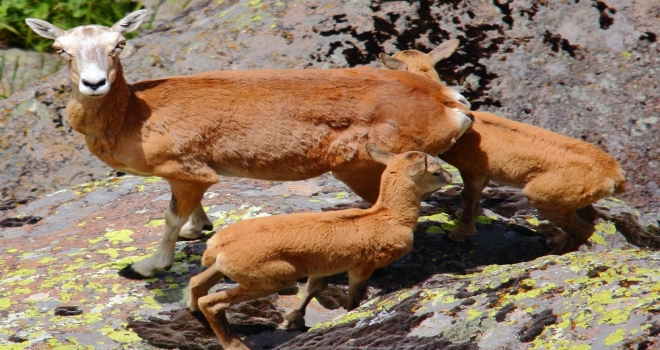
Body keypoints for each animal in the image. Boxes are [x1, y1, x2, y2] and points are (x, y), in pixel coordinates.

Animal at [23, 10, 472, 278]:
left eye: (118, 44)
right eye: (61, 49)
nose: (93, 83)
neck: (134, 114)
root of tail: (449, 102)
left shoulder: (186, 171)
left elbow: (168, 220)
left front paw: (148, 266)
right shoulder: (188, 176)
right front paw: (198, 228)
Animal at [188, 144, 452, 348]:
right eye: (436, 172)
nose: (450, 178)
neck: (389, 216)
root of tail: (216, 246)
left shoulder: (323, 267)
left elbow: (314, 289)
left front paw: (293, 319)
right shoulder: (362, 266)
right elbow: (354, 297)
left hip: (226, 269)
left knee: (196, 283)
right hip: (274, 277)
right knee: (211, 303)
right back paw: (236, 344)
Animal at [378, 42, 628, 253]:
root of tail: (614, 176)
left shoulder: (473, 170)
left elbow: (467, 196)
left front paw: (460, 233)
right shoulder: (485, 172)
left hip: (545, 197)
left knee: (584, 229)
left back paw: (554, 252)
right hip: (574, 199)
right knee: (591, 218)